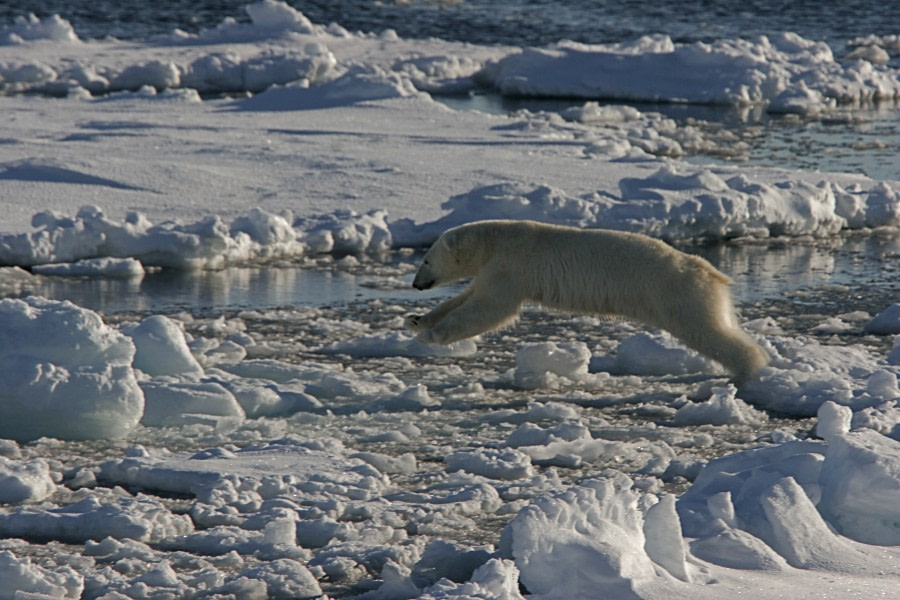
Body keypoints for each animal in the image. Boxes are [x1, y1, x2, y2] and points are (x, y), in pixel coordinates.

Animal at [406, 219, 768, 380]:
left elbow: (490, 308)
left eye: (426, 260)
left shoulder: (512, 266)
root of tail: (709, 270)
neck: (496, 240)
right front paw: (417, 320)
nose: (416, 284)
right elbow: (468, 296)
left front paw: (431, 335)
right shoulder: (493, 268)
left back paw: (749, 368)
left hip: (674, 292)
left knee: (705, 330)